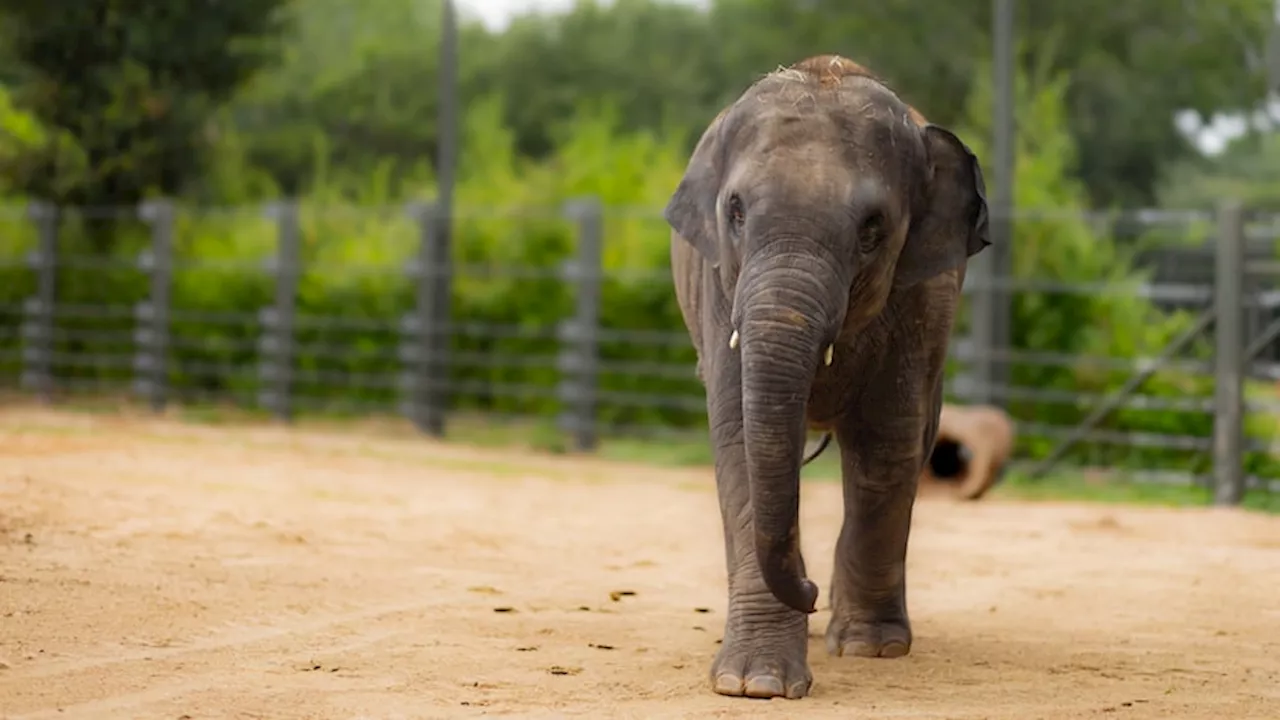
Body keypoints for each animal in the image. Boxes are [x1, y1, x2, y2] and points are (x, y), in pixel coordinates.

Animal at [665, 54, 993, 696]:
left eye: (871, 227)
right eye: (735, 211)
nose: (810, 592)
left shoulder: (922, 299)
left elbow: (886, 439)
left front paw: (869, 649)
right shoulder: (719, 288)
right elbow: (740, 439)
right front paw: (755, 684)